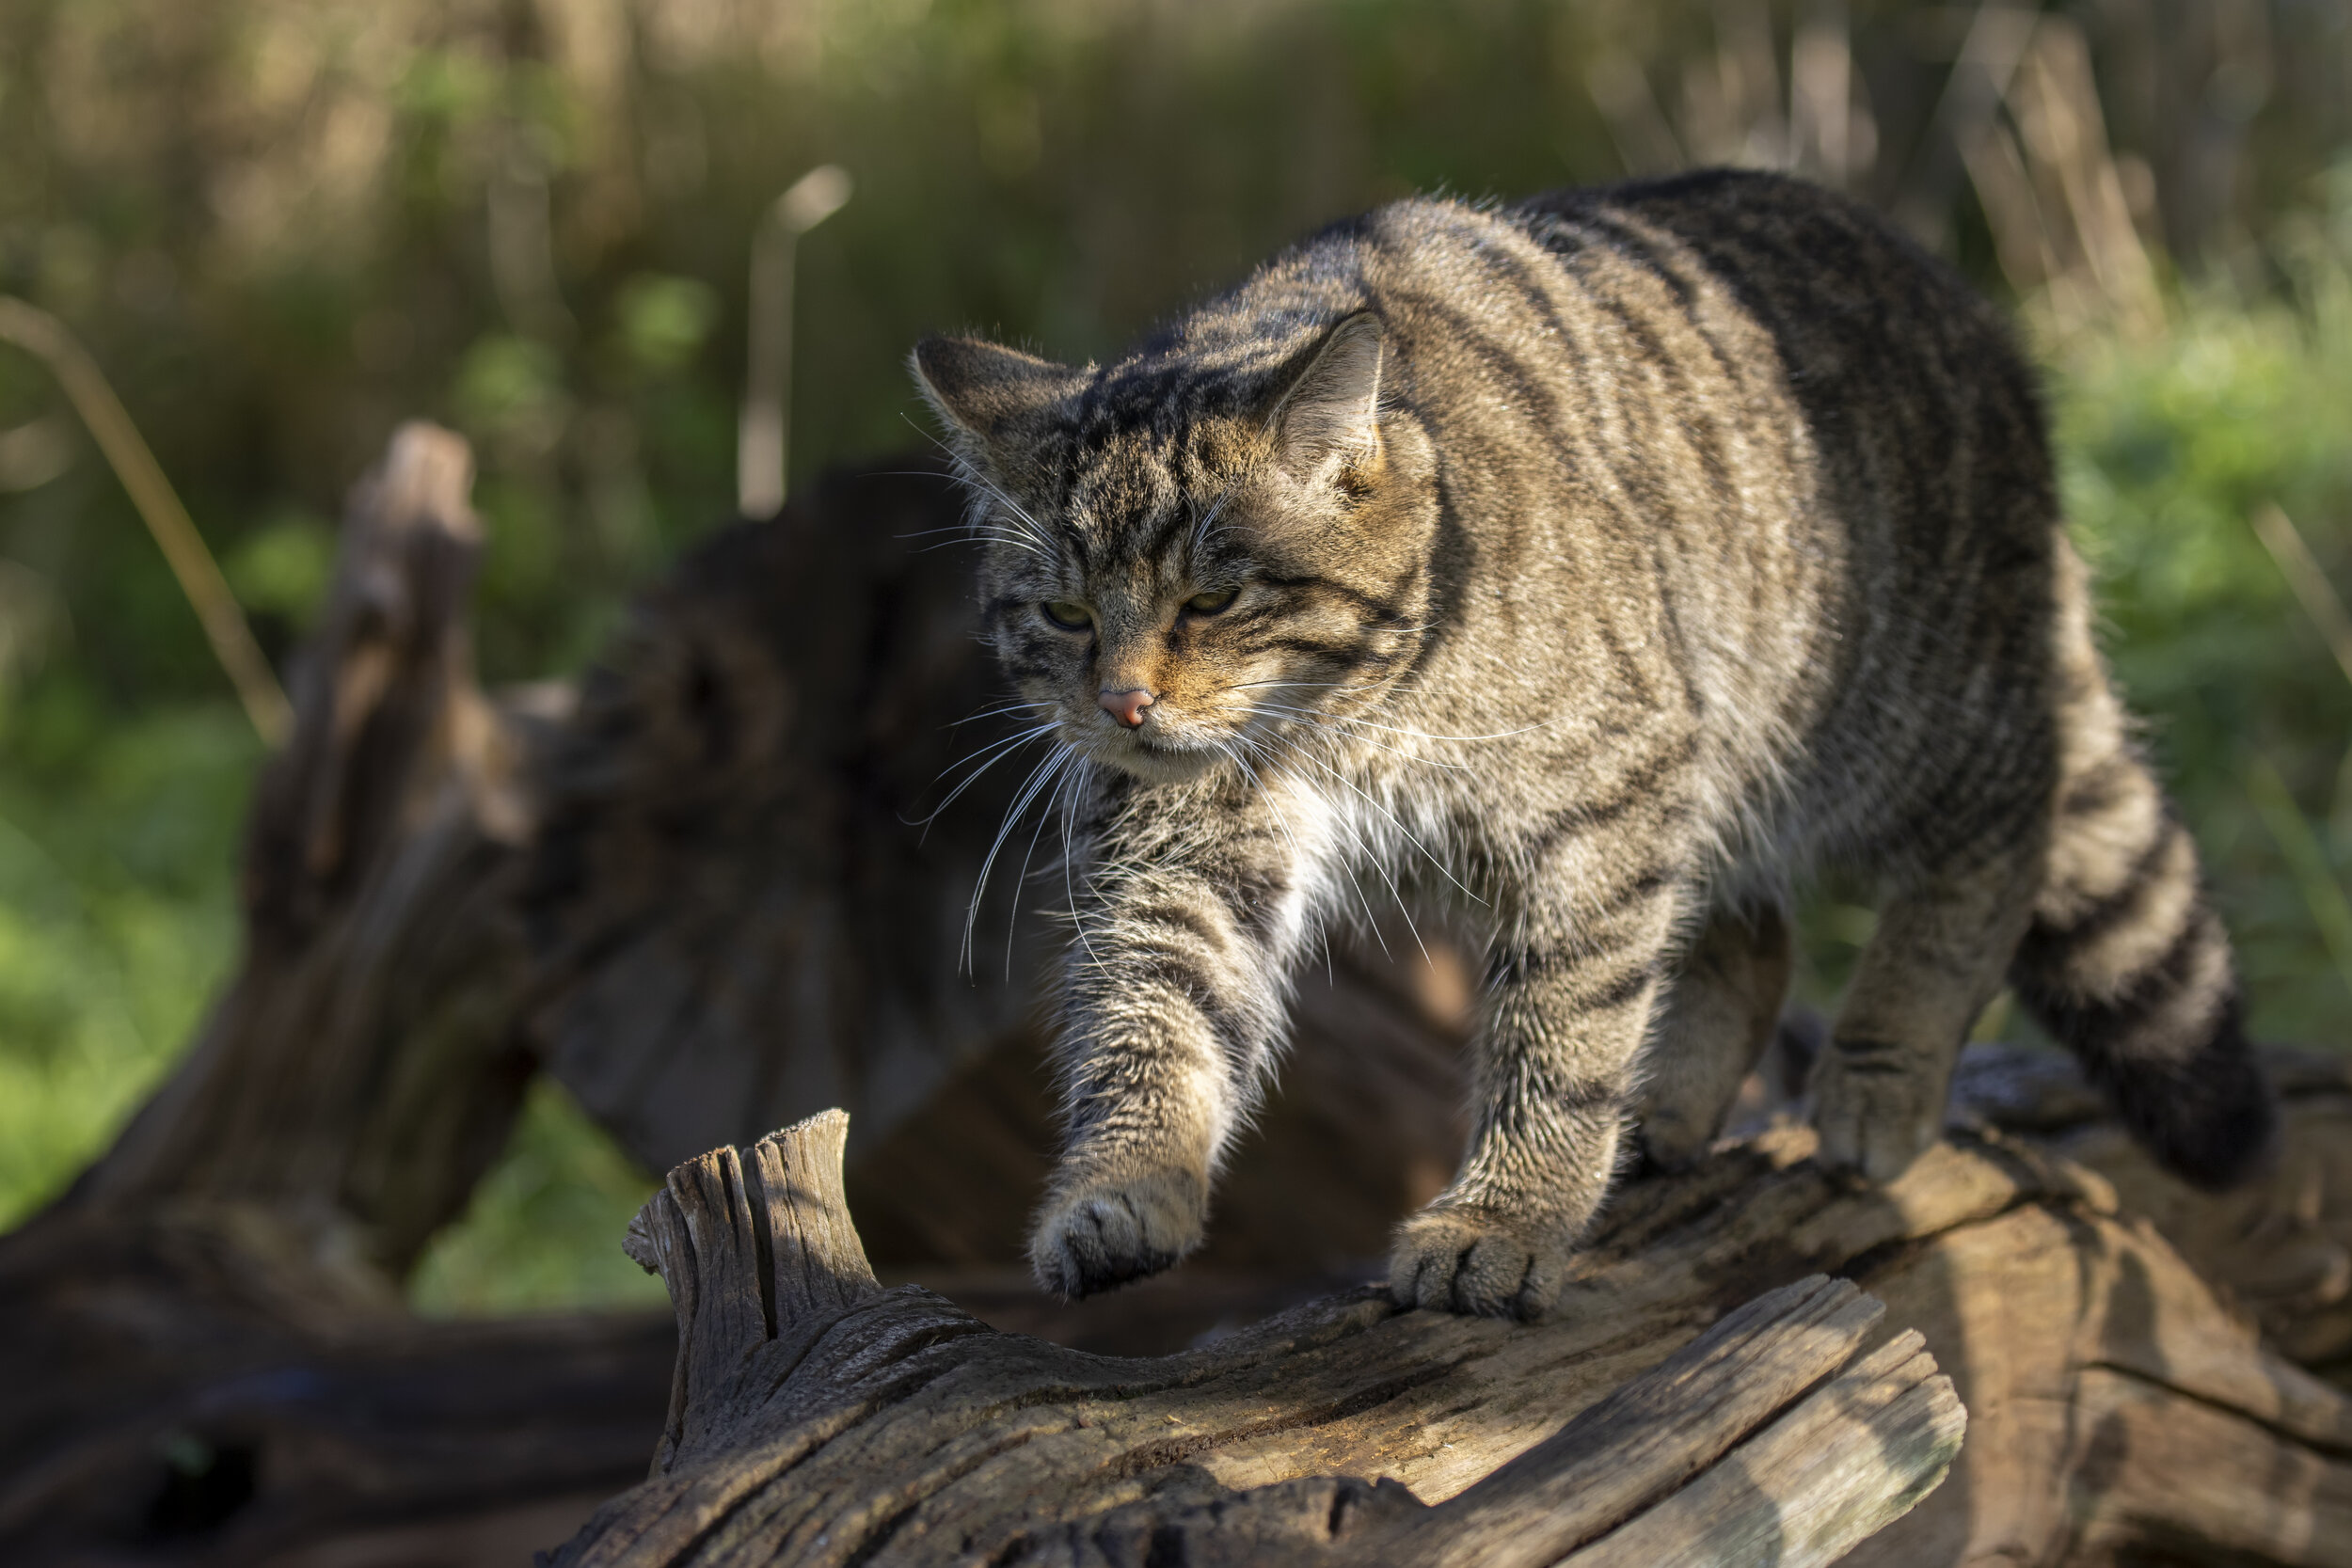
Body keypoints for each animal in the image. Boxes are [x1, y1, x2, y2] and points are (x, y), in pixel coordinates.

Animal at [908, 175, 2267, 1325]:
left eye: (1210, 599)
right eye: (1064, 613)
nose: (1123, 706)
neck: (1345, 718)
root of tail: (1974, 319)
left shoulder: (1601, 800)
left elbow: (1557, 1031)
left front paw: (1507, 1213)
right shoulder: (1184, 846)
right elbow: (1155, 1015)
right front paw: (1121, 1185)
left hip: (1912, 713)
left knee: (2000, 836)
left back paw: (1881, 1069)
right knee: (1748, 935)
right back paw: (1661, 1108)